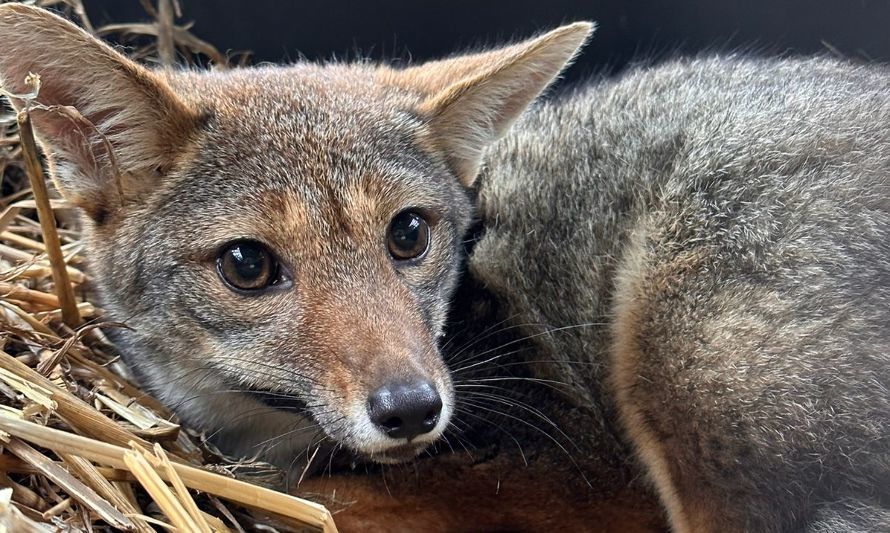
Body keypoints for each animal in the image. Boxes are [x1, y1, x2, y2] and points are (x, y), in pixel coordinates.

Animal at [1, 4, 888, 532]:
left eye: (408, 234)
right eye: (248, 264)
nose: (411, 409)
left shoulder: (582, 474)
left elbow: (336, 502)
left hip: (679, 376)